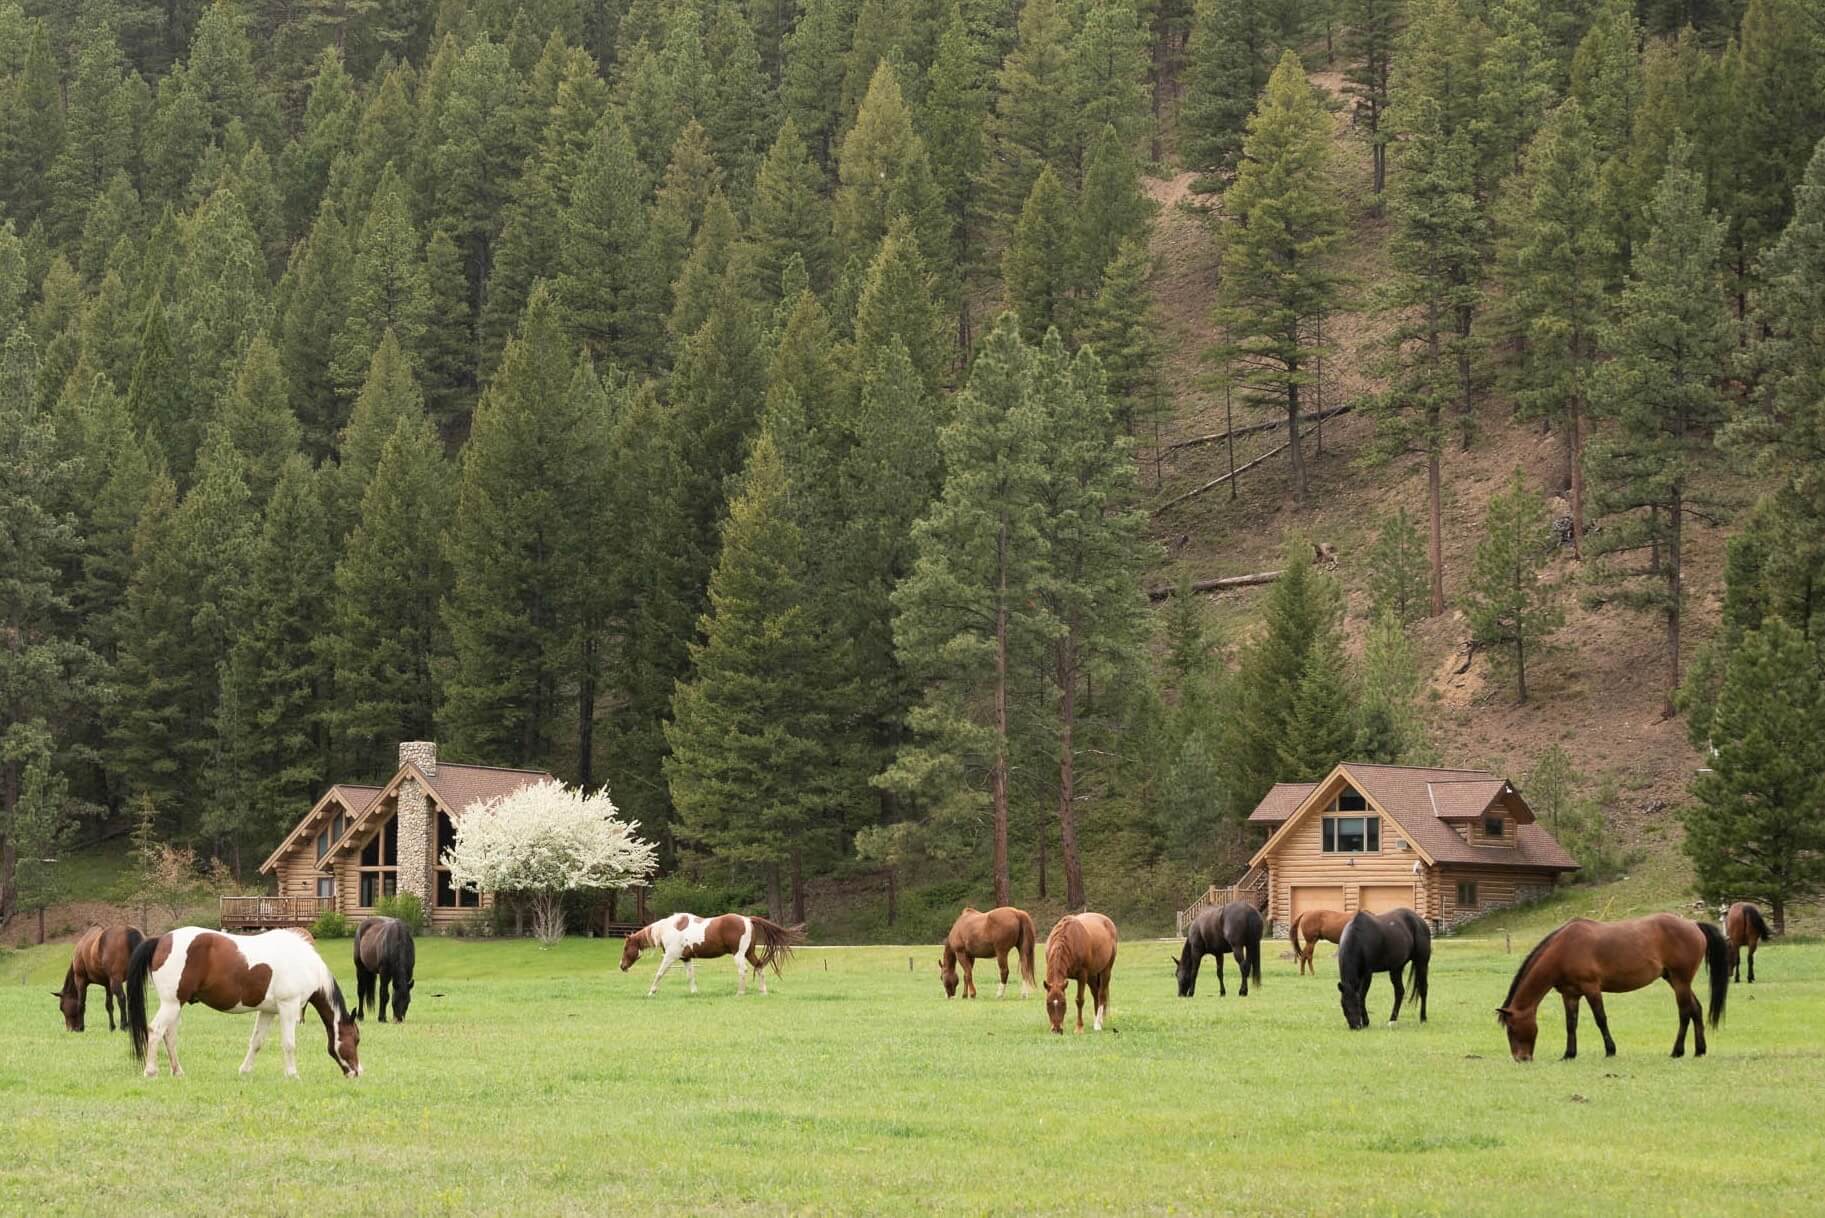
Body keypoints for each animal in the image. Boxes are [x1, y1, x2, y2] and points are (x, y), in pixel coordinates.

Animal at [125, 927, 363, 1081]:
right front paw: (292, 1074)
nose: (357, 1072)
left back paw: (177, 1072)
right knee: (155, 1030)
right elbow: (288, 1043)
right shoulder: (288, 1006)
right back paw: (151, 1071)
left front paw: (245, 1070)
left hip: (176, 1004)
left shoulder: (268, 1011)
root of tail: (161, 940)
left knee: (169, 1035)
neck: (305, 964)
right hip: (171, 1003)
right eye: (356, 1039)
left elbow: (256, 1042)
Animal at [620, 909, 806, 993]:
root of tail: (747, 919)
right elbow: (690, 976)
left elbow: (659, 973)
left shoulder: (670, 957)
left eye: (626, 948)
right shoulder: (686, 959)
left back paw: (740, 992)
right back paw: (763, 991)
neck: (669, 928)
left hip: (739, 955)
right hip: (749, 953)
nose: (621, 966)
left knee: (743, 970)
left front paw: (651, 991)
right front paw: (694, 992)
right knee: (759, 966)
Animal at [1051, 909, 1116, 1037]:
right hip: (1092, 976)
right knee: (1096, 994)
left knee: (1101, 995)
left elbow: (1079, 1000)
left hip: (1105, 971)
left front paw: (1079, 1028)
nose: (1056, 1029)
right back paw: (1097, 1020)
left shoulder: (1082, 975)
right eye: (1048, 1003)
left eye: (1063, 1004)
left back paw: (1098, 1024)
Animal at [1335, 909, 1430, 1037]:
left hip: (1422, 963)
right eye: (1343, 1005)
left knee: (1423, 989)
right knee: (1399, 992)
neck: (1358, 938)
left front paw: (1366, 1022)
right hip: (1396, 968)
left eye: (1356, 1004)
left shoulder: (1367, 974)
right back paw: (1392, 1020)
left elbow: (1362, 996)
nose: (1356, 1026)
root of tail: (1420, 921)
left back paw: (1423, 1018)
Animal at [1496, 909, 1722, 1059]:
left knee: (1685, 1013)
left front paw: (1610, 1050)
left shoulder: (1592, 988)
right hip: (1674, 980)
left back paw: (1677, 1051)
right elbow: (1571, 1024)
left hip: (1680, 980)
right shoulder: (1570, 995)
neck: (1564, 949)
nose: (1521, 1058)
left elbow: (1600, 1019)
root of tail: (1693, 924)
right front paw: (1569, 1054)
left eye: (1511, 1029)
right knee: (1696, 1009)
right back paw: (1699, 1050)